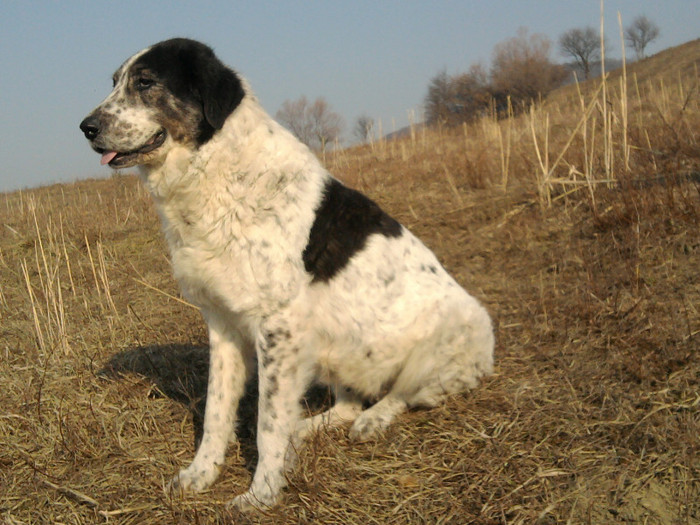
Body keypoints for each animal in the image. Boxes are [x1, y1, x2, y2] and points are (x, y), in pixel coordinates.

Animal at [79, 37, 494, 512]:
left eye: (145, 82)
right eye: (115, 82)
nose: (86, 127)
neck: (218, 172)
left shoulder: (279, 329)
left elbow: (268, 422)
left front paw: (261, 493)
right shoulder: (223, 327)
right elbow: (216, 412)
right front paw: (202, 474)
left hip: (447, 339)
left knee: (402, 394)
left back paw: (373, 420)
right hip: (338, 349)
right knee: (346, 405)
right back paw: (307, 429)